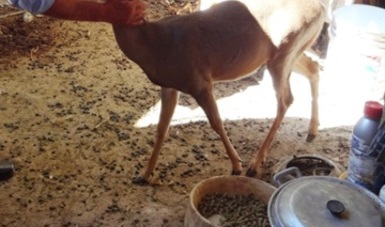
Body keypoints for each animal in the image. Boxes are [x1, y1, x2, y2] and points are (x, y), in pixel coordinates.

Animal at [112, 0, 326, 184]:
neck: (154, 44)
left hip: (286, 49)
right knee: (314, 68)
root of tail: (322, 9)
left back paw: (255, 165)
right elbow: (161, 128)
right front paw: (144, 175)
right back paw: (312, 131)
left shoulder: (200, 82)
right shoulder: (169, 86)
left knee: (286, 99)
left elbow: (216, 122)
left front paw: (236, 166)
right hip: (287, 53)